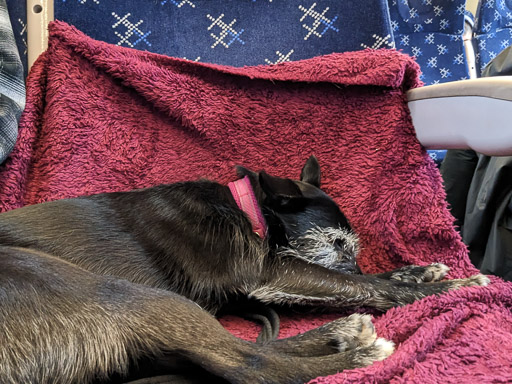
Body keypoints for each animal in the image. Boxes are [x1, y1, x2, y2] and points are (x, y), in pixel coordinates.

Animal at [0, 156, 488, 384]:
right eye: (336, 243)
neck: (247, 207)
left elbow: (366, 281)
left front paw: (423, 272)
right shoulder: (270, 271)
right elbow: (355, 282)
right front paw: (452, 287)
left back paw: (343, 332)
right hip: (117, 293)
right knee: (250, 364)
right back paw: (359, 355)